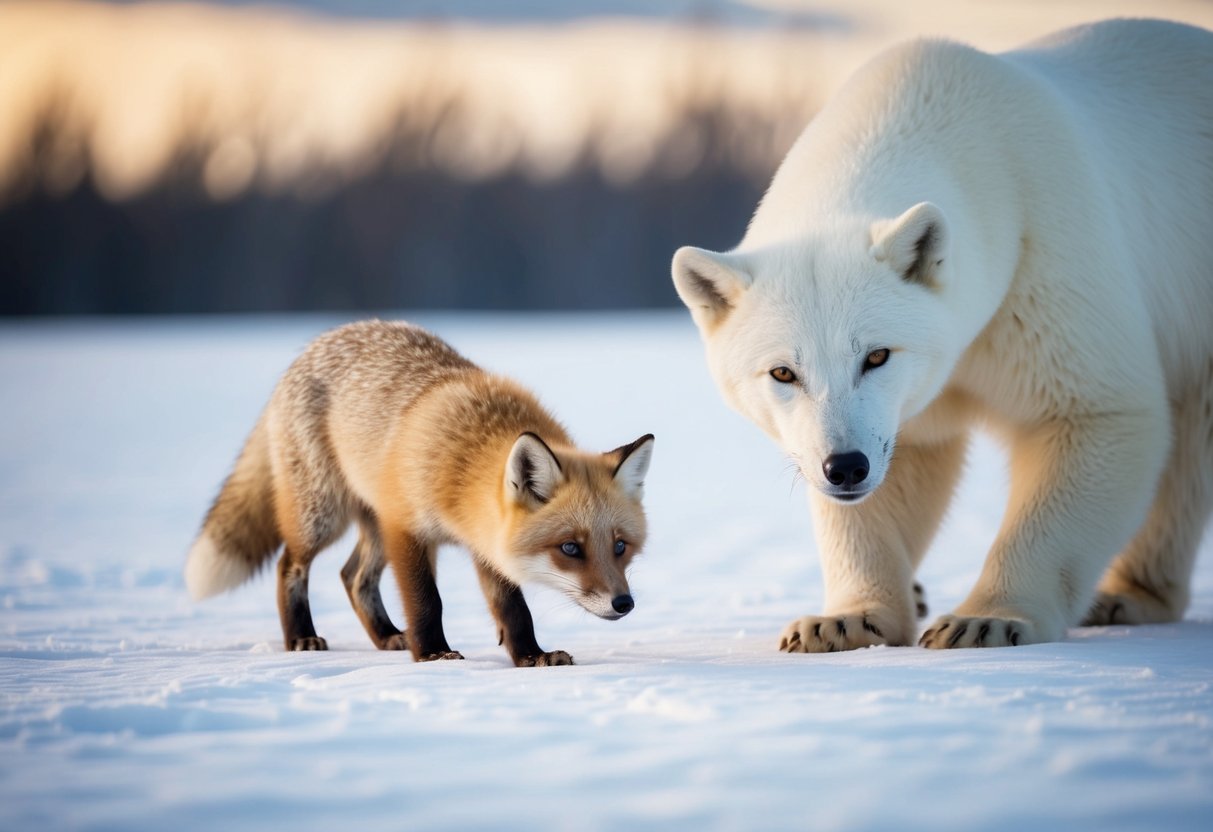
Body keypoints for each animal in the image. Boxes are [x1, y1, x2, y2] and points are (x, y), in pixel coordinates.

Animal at [185, 320, 654, 666]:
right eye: (570, 548)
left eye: (620, 546)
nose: (624, 603)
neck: (463, 466)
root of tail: (316, 342)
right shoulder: (406, 527)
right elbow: (427, 601)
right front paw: (432, 655)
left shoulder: (484, 543)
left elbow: (512, 608)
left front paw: (530, 656)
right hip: (322, 516)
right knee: (290, 565)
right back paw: (302, 637)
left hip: (370, 523)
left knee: (353, 577)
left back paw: (388, 636)